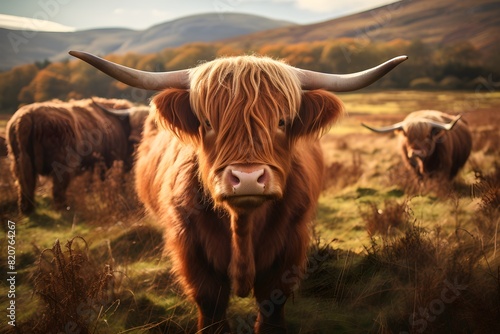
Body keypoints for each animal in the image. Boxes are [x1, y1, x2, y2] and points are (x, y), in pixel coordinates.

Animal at [5, 97, 148, 214]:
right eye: (135, 123)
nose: (134, 139)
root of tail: (29, 114)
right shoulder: (113, 160)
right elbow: (112, 179)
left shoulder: (95, 162)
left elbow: (92, 181)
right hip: (63, 162)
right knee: (58, 187)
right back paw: (63, 208)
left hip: (19, 162)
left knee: (25, 184)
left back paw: (27, 210)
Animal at [70, 50, 406, 334]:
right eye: (208, 122)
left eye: (282, 121)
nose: (247, 179)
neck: (243, 225)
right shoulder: (190, 247)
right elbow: (210, 304)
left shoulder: (290, 244)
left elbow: (272, 304)